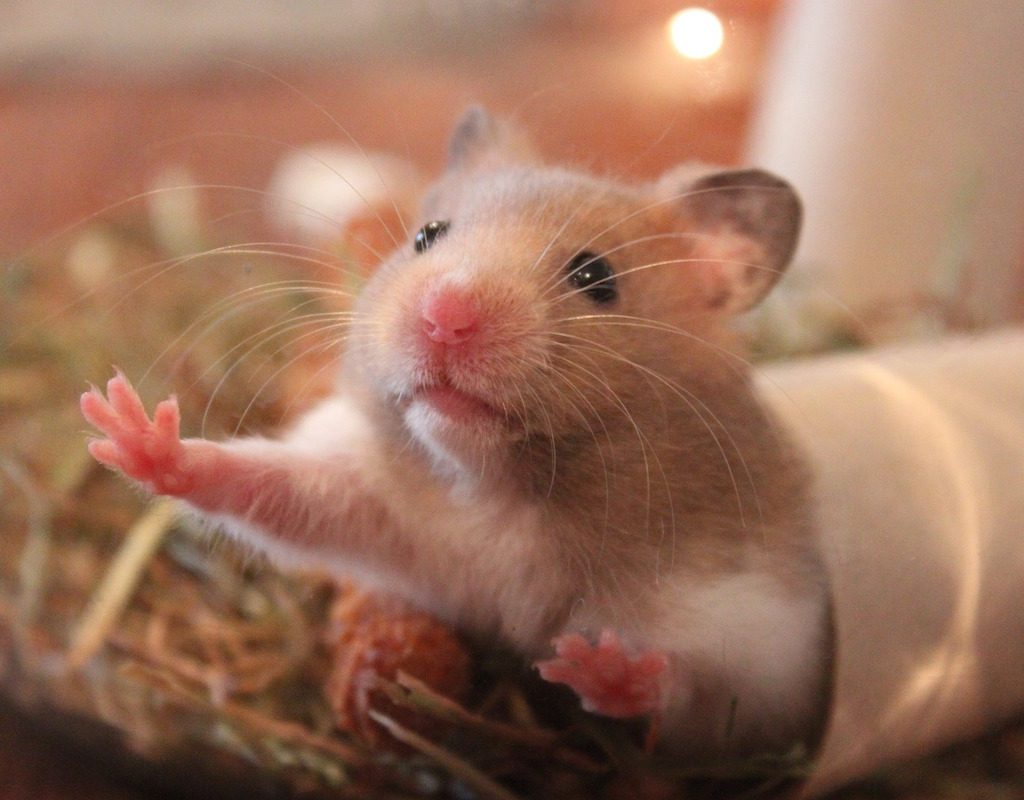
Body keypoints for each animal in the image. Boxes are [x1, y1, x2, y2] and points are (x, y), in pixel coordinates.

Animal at [80, 106, 830, 760]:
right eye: (427, 235)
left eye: (596, 276)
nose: (445, 314)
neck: (498, 490)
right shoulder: (379, 505)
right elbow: (267, 484)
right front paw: (130, 429)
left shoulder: (759, 631)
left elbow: (695, 686)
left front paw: (598, 665)